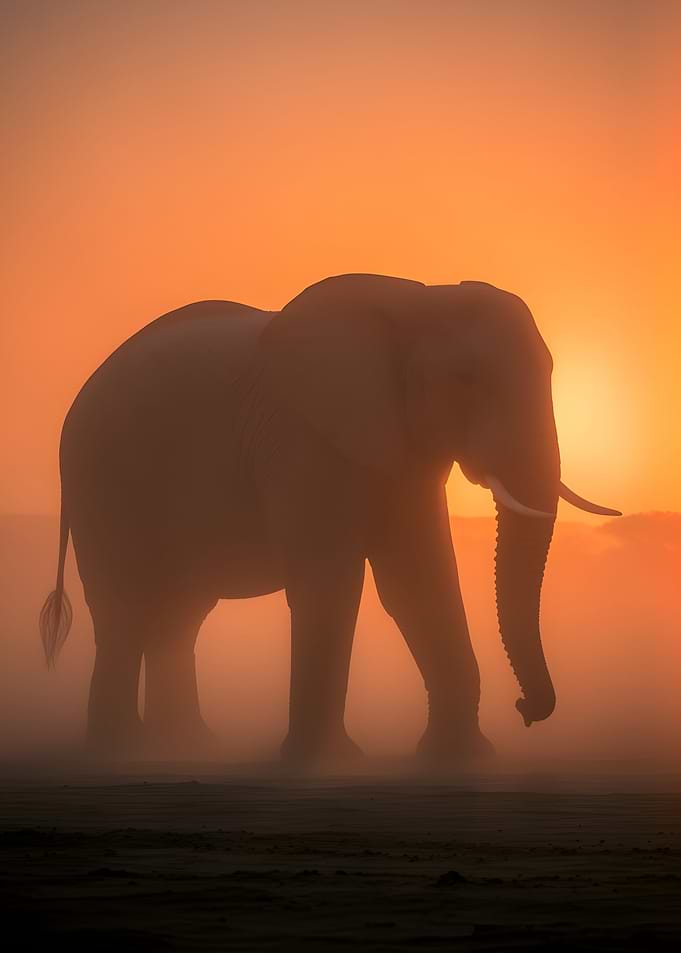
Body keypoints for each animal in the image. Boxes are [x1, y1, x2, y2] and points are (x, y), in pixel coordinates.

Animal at [39, 273, 620, 763]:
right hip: (100, 478)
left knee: (180, 616)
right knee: (123, 608)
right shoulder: (302, 436)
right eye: (466, 378)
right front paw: (326, 763)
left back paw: (186, 747)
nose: (525, 712)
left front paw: (463, 760)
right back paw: (121, 752)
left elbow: (419, 581)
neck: (419, 300)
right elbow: (332, 582)